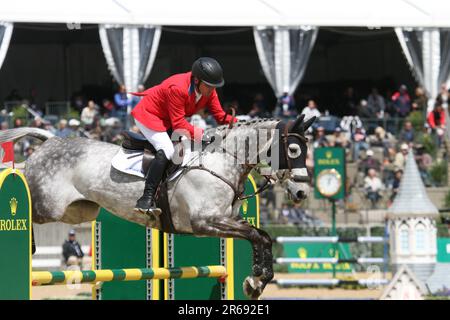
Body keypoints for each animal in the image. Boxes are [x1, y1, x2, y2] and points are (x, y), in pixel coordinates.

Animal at [0, 115, 314, 300]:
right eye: (294, 150)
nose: (302, 192)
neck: (221, 162)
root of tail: (51, 140)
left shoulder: (223, 221)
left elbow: (262, 236)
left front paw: (256, 281)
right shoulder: (206, 222)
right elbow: (256, 235)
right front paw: (256, 279)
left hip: (78, 210)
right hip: (48, 204)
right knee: (23, 183)